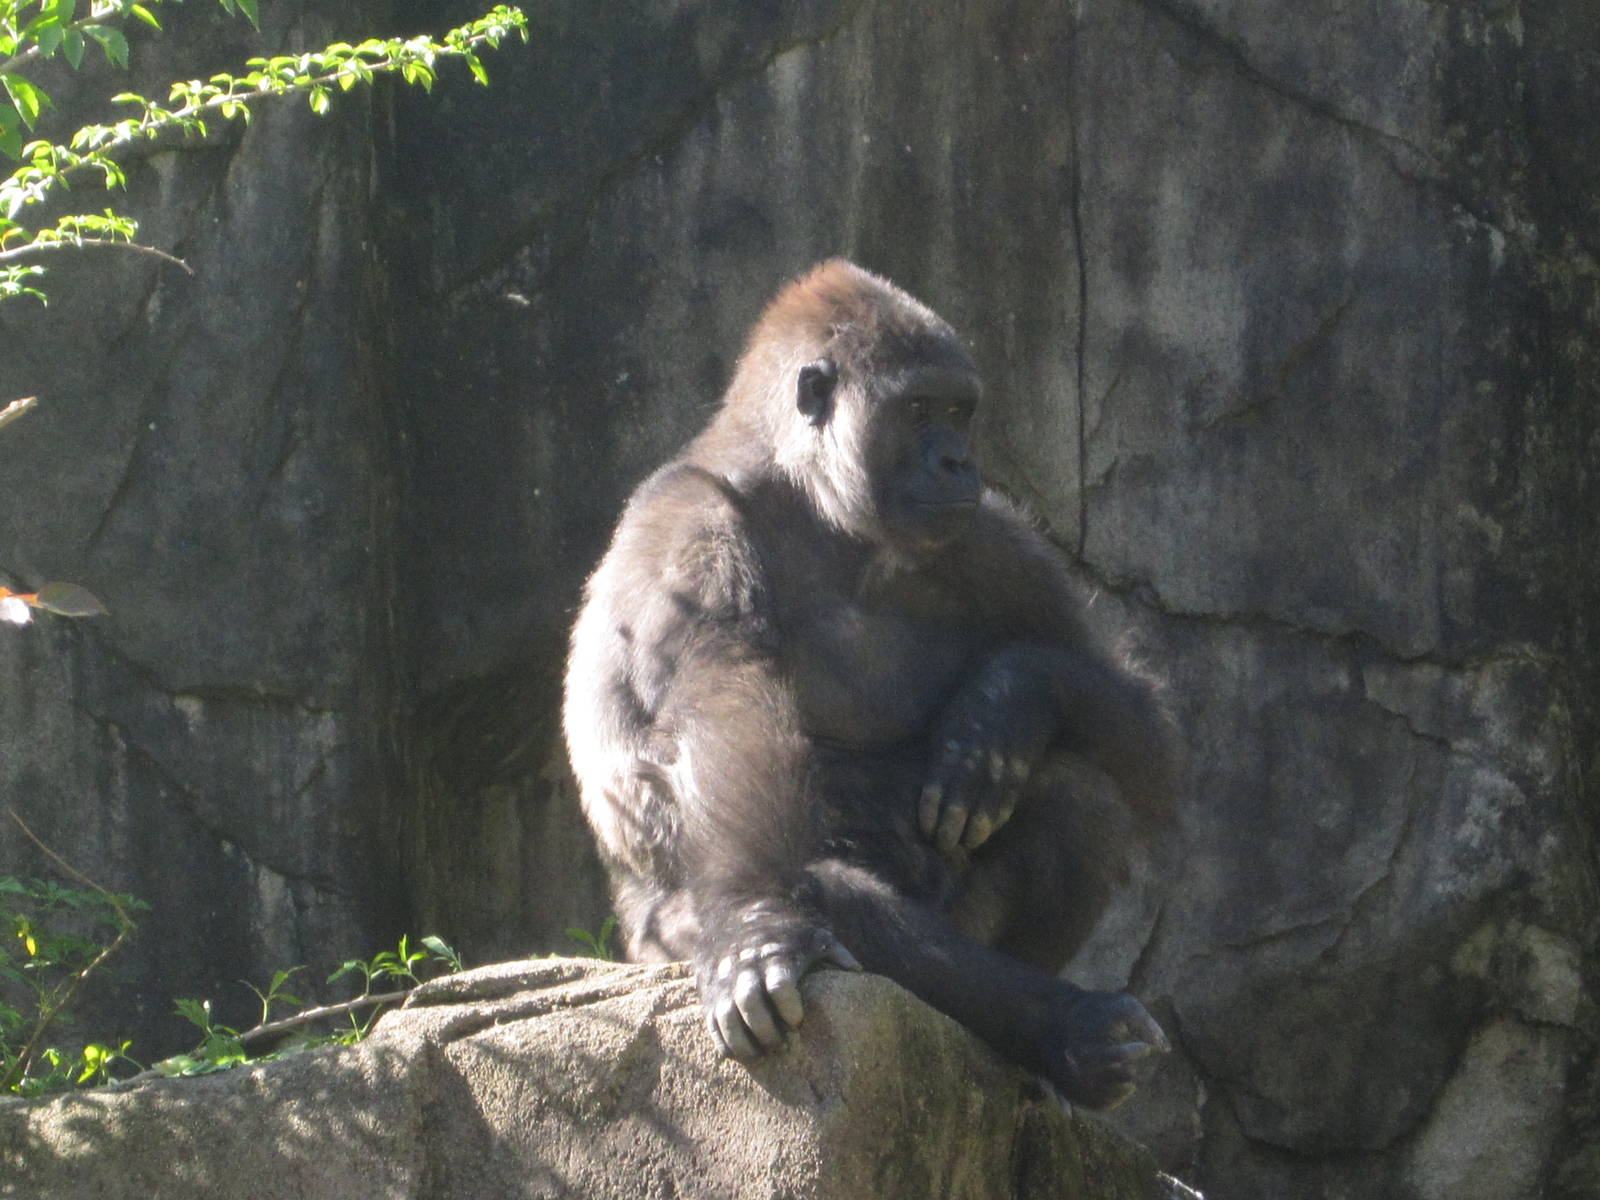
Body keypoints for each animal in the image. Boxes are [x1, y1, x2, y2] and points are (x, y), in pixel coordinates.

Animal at [563, 259, 1172, 1108]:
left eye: (959, 411)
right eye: (917, 411)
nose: (957, 462)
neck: (812, 497)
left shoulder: (995, 539)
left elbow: (1142, 734)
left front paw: (1003, 706)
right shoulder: (689, 524)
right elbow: (720, 716)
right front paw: (753, 926)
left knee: (1082, 796)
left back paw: (1050, 1044)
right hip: (652, 945)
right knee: (826, 890)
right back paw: (1065, 1027)